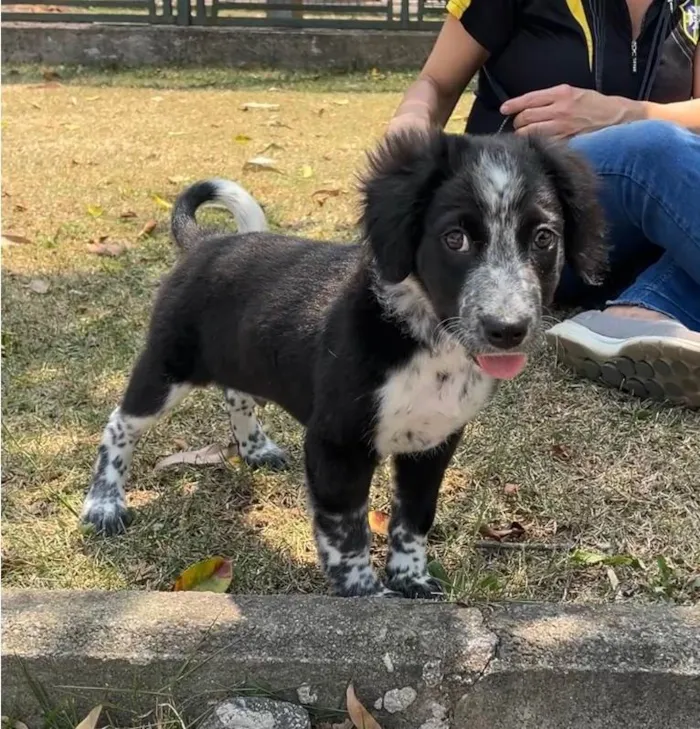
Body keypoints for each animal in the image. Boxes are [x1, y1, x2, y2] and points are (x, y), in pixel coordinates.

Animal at [80, 129, 608, 596]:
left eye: (543, 238)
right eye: (454, 238)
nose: (508, 329)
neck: (425, 343)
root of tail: (206, 243)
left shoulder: (433, 442)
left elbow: (414, 517)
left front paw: (411, 579)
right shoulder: (336, 446)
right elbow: (347, 530)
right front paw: (364, 594)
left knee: (236, 393)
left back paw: (255, 447)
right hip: (167, 365)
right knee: (120, 423)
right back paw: (104, 503)